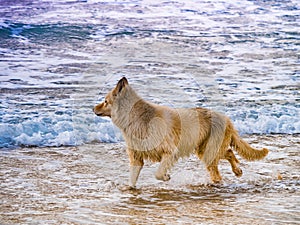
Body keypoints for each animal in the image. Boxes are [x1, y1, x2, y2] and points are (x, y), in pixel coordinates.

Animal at [92, 78, 268, 188]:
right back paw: (236, 171)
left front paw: (166, 177)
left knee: (220, 165)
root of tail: (227, 118)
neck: (137, 117)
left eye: (105, 101)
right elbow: (132, 178)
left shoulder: (170, 151)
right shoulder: (136, 157)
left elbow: (158, 172)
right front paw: (130, 189)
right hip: (204, 149)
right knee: (229, 152)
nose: (93, 108)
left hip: (208, 150)